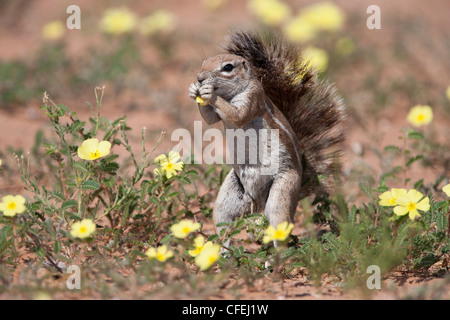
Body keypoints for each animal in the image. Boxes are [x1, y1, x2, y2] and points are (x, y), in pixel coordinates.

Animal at [187, 30, 344, 245]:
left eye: (228, 67)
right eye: (204, 62)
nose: (200, 78)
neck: (230, 94)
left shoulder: (252, 99)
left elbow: (237, 115)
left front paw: (209, 94)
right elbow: (210, 119)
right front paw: (193, 90)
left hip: (282, 190)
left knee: (280, 222)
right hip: (229, 196)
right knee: (223, 220)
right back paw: (223, 250)